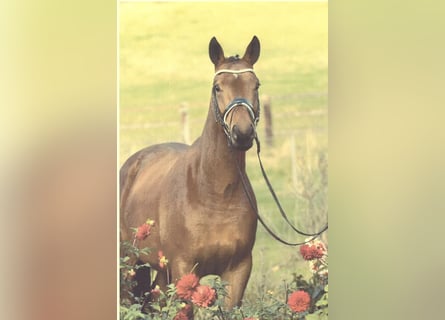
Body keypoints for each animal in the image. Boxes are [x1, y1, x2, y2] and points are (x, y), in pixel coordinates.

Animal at [120, 36, 260, 308]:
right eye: (217, 87)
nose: (243, 133)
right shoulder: (184, 268)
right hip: (129, 263)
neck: (215, 193)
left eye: (256, 85)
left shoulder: (239, 270)